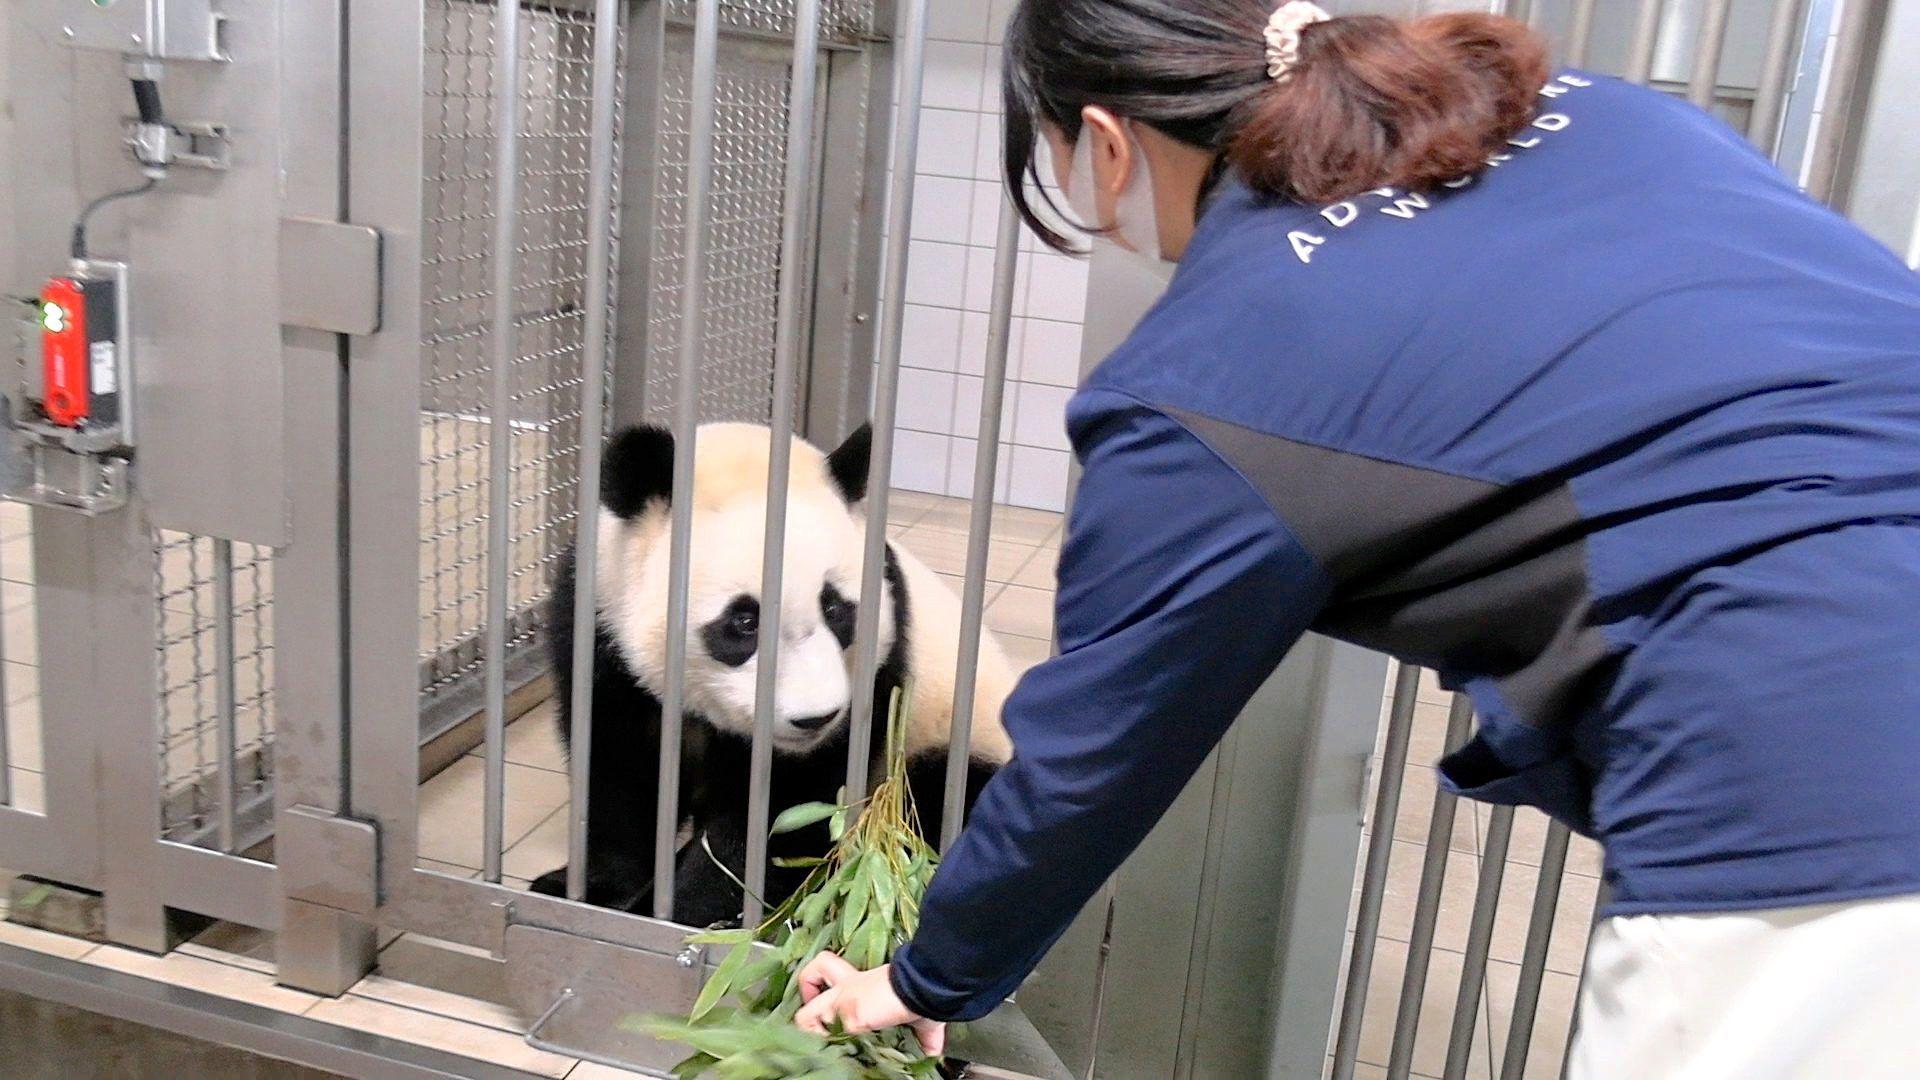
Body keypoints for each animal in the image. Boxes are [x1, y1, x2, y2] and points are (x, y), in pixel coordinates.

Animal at [529, 417, 1021, 922]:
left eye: (836, 608)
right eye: (745, 621)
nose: (814, 718)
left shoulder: (874, 680)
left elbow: (777, 814)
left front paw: (693, 911)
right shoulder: (600, 627)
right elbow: (619, 772)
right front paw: (589, 889)